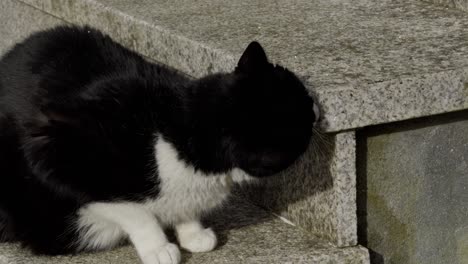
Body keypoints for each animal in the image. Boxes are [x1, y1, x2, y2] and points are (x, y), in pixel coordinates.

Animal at [0, 25, 318, 264]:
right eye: (303, 111)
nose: (316, 111)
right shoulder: (60, 158)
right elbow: (135, 212)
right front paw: (158, 247)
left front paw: (192, 233)